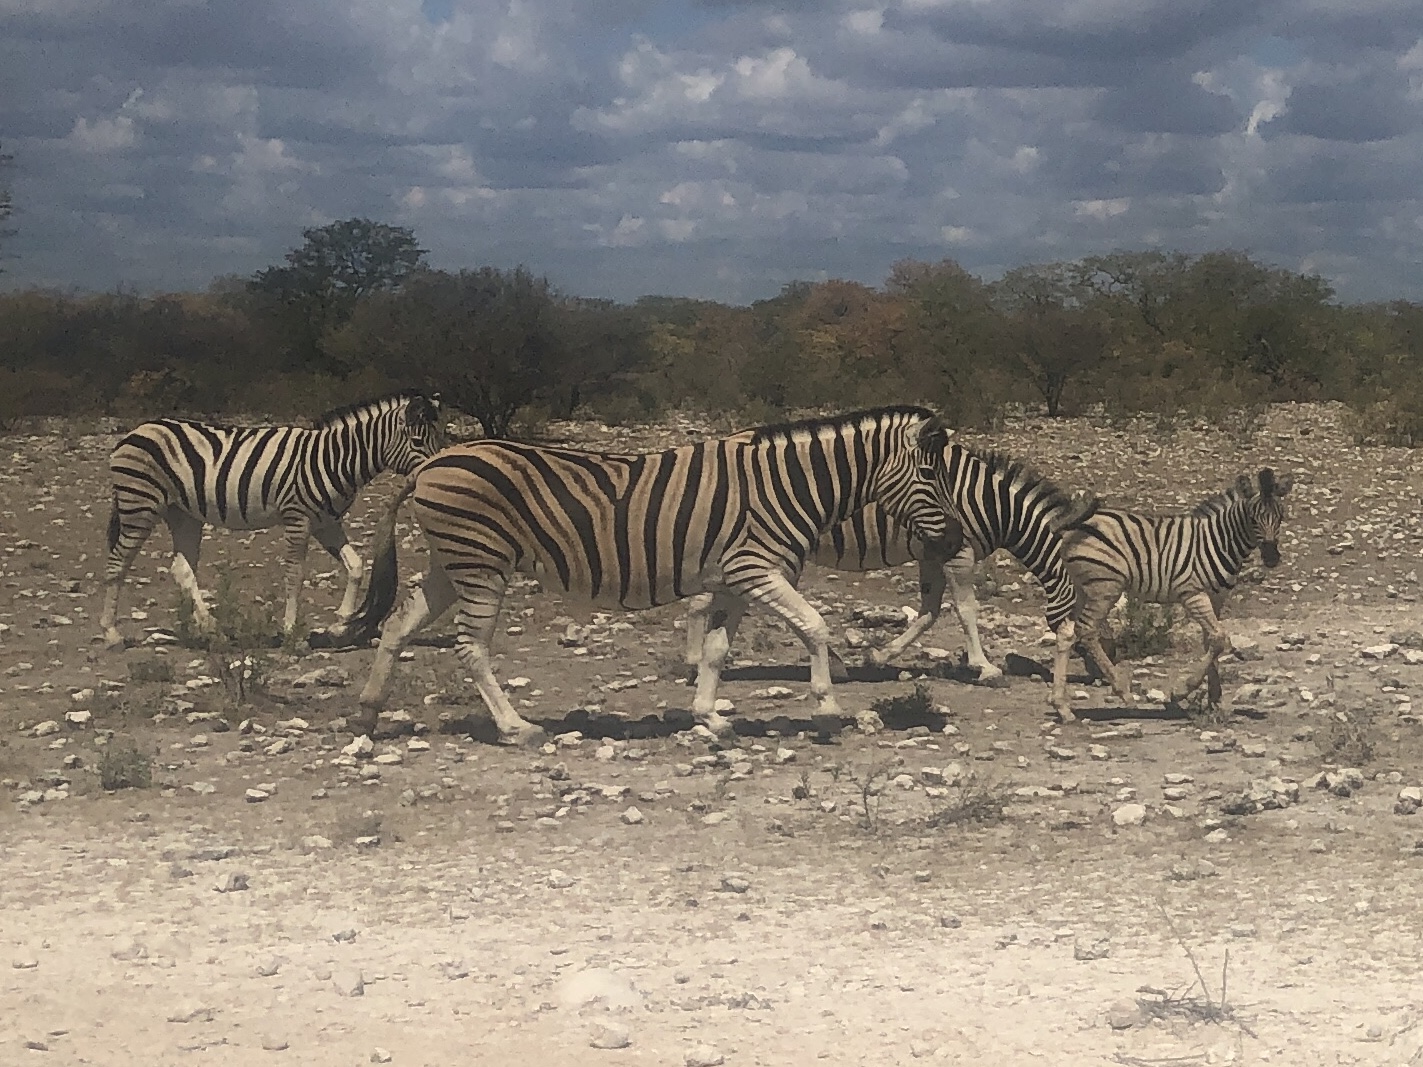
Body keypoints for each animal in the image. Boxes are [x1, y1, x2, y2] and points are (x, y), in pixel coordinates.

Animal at [98, 389, 443, 648]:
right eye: (417, 442)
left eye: (439, 438)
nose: (435, 473)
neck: (335, 459)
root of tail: (138, 430)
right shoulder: (297, 517)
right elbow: (295, 574)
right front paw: (291, 631)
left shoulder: (326, 522)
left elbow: (356, 565)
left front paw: (341, 623)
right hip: (140, 504)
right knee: (117, 563)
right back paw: (111, 634)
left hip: (183, 514)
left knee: (181, 569)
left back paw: (212, 628)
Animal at [334, 404, 956, 745]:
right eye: (931, 476)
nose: (952, 539)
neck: (787, 487)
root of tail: (428, 466)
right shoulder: (757, 568)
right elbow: (814, 626)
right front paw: (827, 708)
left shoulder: (734, 578)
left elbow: (717, 651)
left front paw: (709, 718)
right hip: (480, 562)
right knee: (470, 647)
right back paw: (517, 729)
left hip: (452, 562)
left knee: (398, 625)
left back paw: (367, 713)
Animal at [683, 443, 1092, 719]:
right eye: (1084, 628)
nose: (1096, 675)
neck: (994, 504)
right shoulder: (958, 552)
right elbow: (966, 609)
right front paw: (985, 668)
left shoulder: (932, 553)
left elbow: (929, 612)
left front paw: (880, 654)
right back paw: (695, 661)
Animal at [1064, 469, 1297, 711]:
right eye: (1252, 519)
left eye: (1281, 516)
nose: (1271, 558)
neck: (1220, 541)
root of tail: (1077, 525)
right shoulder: (1193, 594)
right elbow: (1220, 638)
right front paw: (1181, 691)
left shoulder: (1216, 597)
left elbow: (1210, 640)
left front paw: (1214, 699)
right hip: (1104, 586)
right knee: (1086, 629)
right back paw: (1123, 691)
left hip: (1084, 588)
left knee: (1067, 632)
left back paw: (1062, 706)